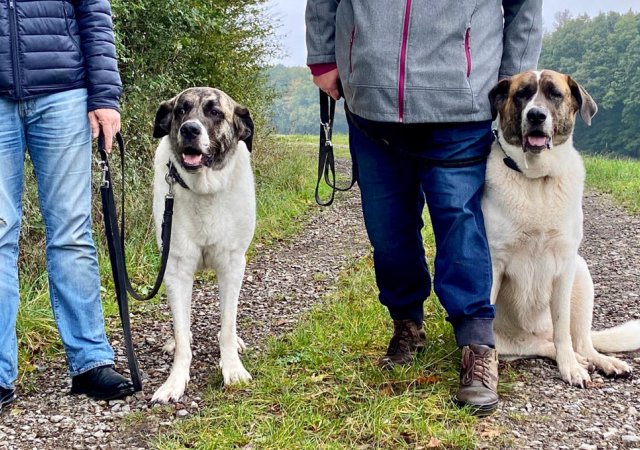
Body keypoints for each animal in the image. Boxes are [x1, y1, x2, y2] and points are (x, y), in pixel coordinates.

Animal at [149, 86, 255, 402]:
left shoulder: (232, 266)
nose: (189, 129)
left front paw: (232, 368)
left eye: (215, 112)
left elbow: (228, 325)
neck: (205, 188)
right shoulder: (175, 270)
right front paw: (175, 381)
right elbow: (183, 334)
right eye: (181, 110)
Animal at [484, 69, 640, 386]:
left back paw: (598, 361)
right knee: (543, 346)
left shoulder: (564, 265)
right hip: (517, 341)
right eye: (522, 94)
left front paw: (571, 368)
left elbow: (562, 326)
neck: (536, 180)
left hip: (581, 273)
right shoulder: (495, 263)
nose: (536, 115)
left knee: (576, 340)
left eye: (555, 94)